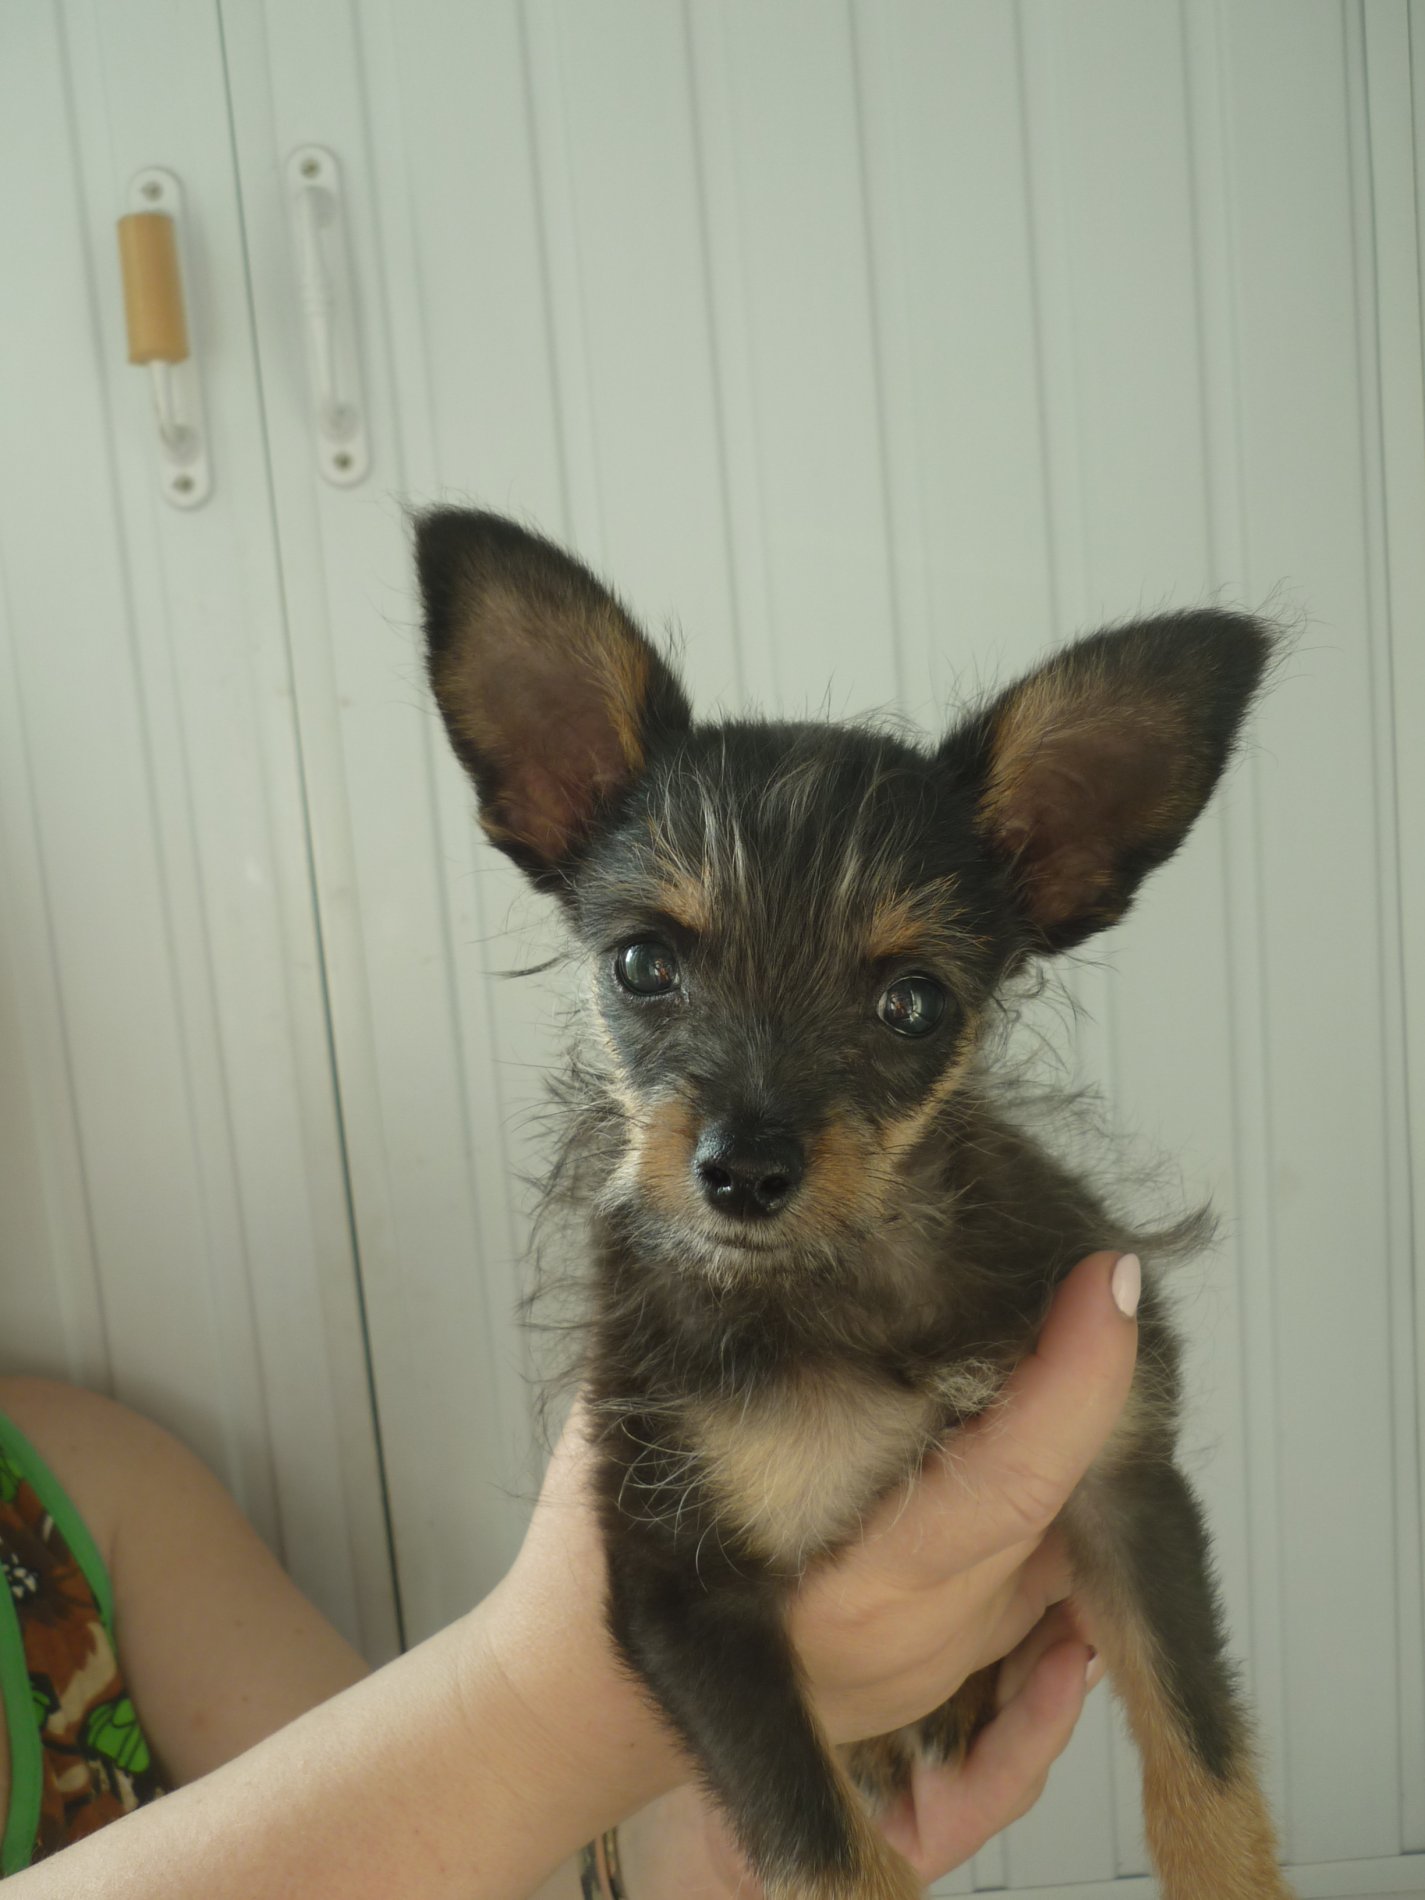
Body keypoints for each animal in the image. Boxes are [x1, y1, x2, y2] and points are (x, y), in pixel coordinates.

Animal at [416, 507, 1289, 1900]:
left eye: (913, 1003)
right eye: (643, 964)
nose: (744, 1171)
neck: (849, 1276)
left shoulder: (1127, 1483)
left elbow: (1206, 1759)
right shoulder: (683, 1590)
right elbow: (826, 1848)